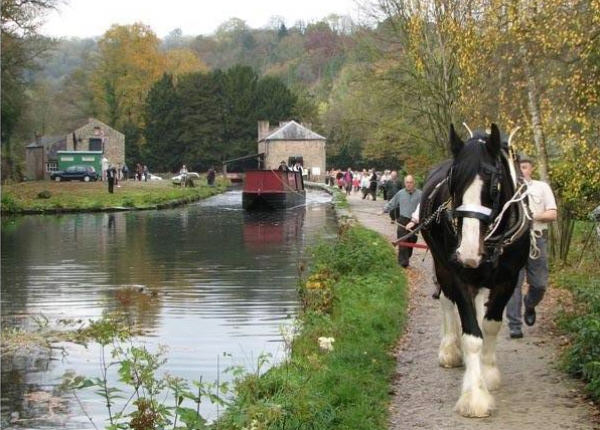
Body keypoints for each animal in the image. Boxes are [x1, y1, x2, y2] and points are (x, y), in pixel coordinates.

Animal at [422, 123, 528, 416]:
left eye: (494, 184)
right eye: (453, 181)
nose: (468, 252)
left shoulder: (508, 280)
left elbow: (490, 326)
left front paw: (487, 372)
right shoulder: (458, 275)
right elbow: (472, 335)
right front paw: (475, 395)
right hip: (442, 264)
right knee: (447, 301)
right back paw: (450, 348)